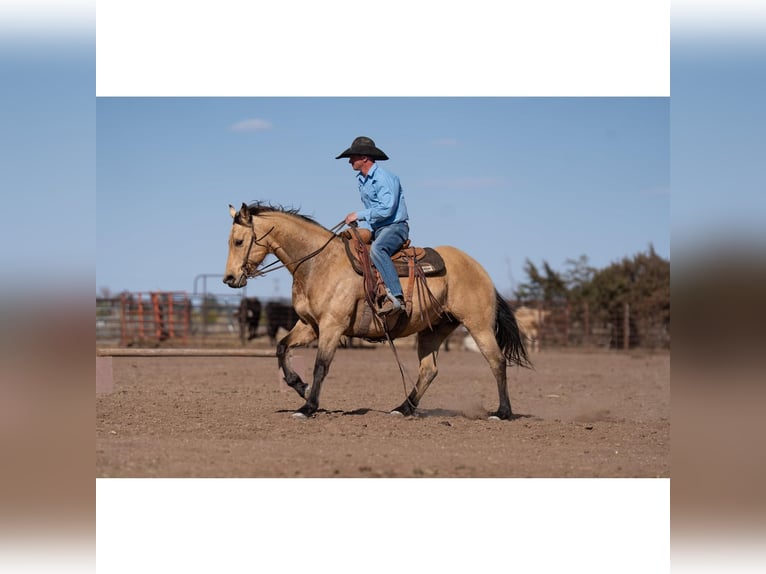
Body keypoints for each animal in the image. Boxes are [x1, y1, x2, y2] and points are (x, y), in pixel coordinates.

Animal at [225, 205, 532, 420]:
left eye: (238, 241)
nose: (229, 278)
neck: (318, 263)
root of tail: (480, 269)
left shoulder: (332, 327)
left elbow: (321, 366)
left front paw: (308, 406)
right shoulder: (310, 325)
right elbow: (281, 348)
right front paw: (300, 387)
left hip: (478, 325)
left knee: (497, 361)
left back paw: (502, 412)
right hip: (435, 329)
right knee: (428, 370)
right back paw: (403, 408)